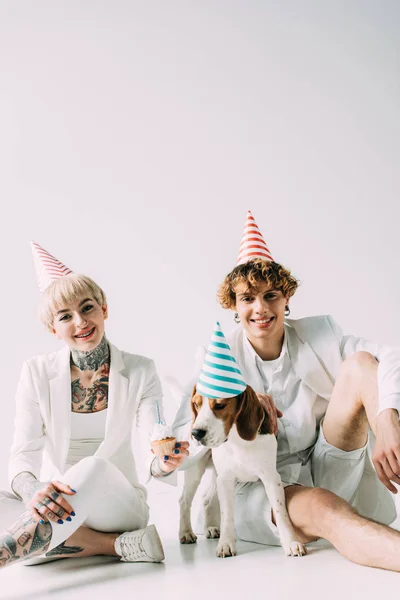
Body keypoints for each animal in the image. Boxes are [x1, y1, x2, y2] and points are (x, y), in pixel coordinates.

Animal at [178, 384, 306, 556]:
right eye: (196, 405)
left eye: (220, 406)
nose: (196, 433)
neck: (238, 440)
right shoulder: (226, 479)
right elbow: (227, 515)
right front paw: (226, 543)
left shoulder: (271, 478)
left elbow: (281, 512)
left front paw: (291, 542)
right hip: (196, 470)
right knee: (184, 500)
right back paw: (186, 533)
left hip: (216, 476)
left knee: (207, 499)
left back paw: (210, 528)